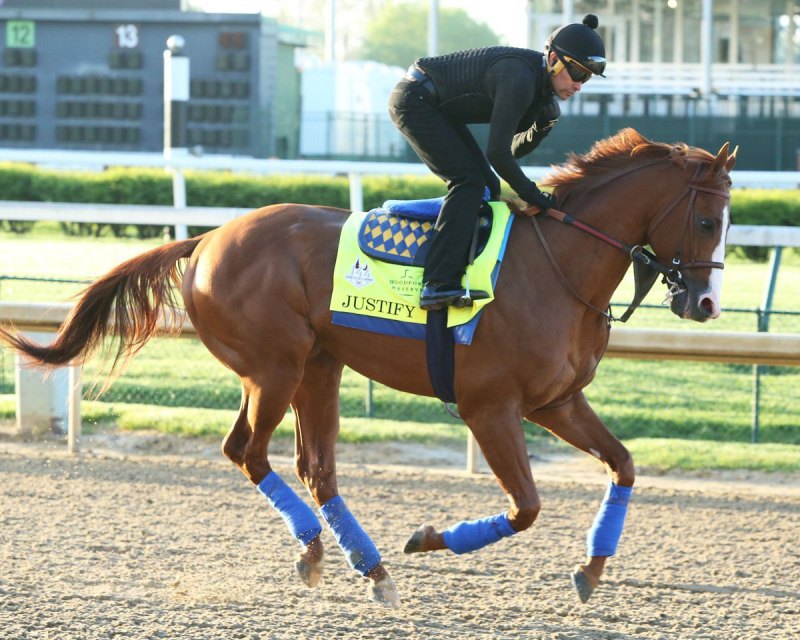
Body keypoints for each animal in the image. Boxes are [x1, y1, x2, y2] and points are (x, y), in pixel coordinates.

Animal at [1, 129, 736, 604]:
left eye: (728, 220)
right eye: (706, 221)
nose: (703, 303)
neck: (557, 266)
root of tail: (208, 239)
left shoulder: (556, 402)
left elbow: (624, 464)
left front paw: (591, 567)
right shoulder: (490, 407)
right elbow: (525, 506)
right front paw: (429, 537)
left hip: (318, 366)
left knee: (312, 466)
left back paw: (368, 567)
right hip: (276, 367)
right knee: (249, 451)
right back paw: (323, 551)